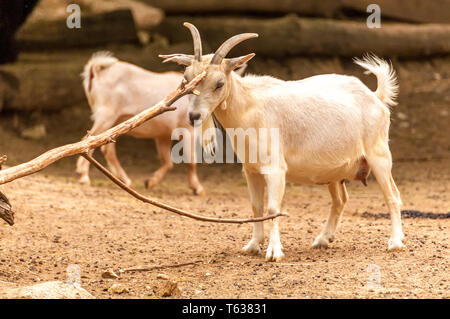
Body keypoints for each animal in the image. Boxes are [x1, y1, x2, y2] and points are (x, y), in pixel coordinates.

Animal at [75, 52, 204, 196]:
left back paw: (124, 179)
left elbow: (167, 161)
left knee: (106, 147)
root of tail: (96, 71)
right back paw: (84, 177)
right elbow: (191, 160)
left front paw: (150, 182)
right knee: (89, 140)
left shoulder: (163, 135)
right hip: (106, 115)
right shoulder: (188, 128)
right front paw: (198, 188)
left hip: (113, 122)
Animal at [162, 23, 404, 262]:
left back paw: (395, 242)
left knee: (393, 196)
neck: (249, 106)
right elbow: (256, 207)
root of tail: (375, 97)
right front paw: (253, 245)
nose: (194, 116)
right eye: (186, 80)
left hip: (379, 155)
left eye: (219, 83)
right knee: (340, 200)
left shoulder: (275, 169)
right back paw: (322, 239)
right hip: (335, 172)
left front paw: (274, 252)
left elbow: (272, 208)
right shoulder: (251, 170)